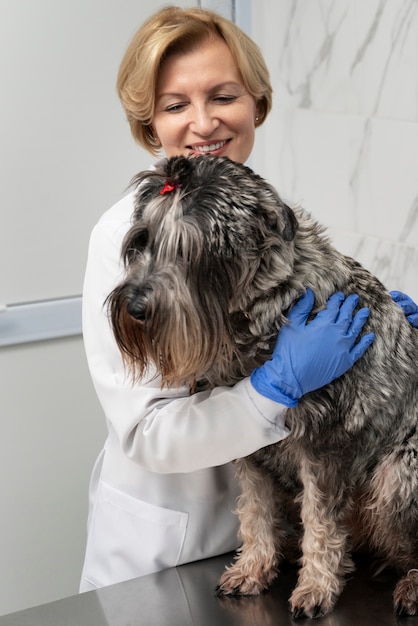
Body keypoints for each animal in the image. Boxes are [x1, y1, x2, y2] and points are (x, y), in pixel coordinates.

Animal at [108, 155, 418, 616]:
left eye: (189, 250)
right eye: (141, 240)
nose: (134, 306)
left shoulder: (324, 446)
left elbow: (321, 520)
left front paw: (316, 586)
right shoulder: (252, 453)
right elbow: (255, 511)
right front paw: (254, 566)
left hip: (397, 475)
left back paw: (410, 582)